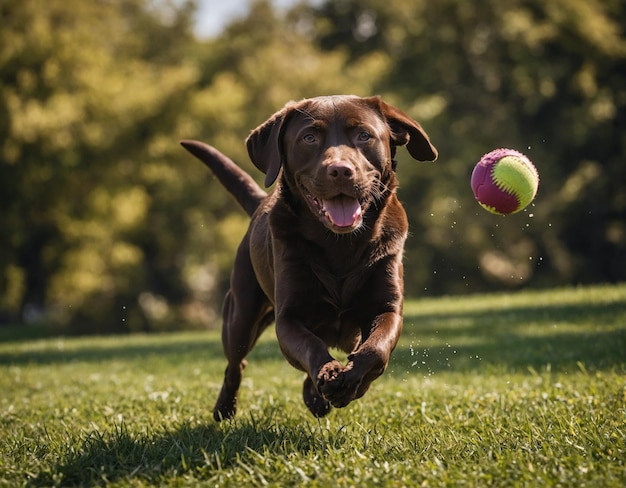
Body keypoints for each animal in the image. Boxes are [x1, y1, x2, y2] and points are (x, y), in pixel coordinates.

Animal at [178, 95, 436, 420]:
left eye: (364, 135)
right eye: (309, 138)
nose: (340, 170)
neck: (340, 245)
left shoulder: (387, 308)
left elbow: (376, 349)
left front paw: (352, 382)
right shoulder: (288, 318)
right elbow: (310, 345)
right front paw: (329, 374)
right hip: (240, 316)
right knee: (236, 363)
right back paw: (225, 408)